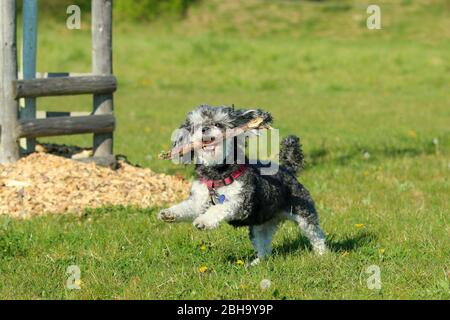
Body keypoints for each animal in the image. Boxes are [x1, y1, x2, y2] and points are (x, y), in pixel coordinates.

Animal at [158, 105, 326, 264]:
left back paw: (322, 255)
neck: (216, 174)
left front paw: (203, 221)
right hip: (261, 224)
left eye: (218, 124)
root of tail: (288, 169)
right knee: (264, 247)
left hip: (303, 212)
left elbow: (220, 207)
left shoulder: (241, 202)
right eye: (196, 126)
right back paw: (256, 263)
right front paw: (168, 213)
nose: (204, 129)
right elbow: (187, 207)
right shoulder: (199, 199)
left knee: (316, 235)